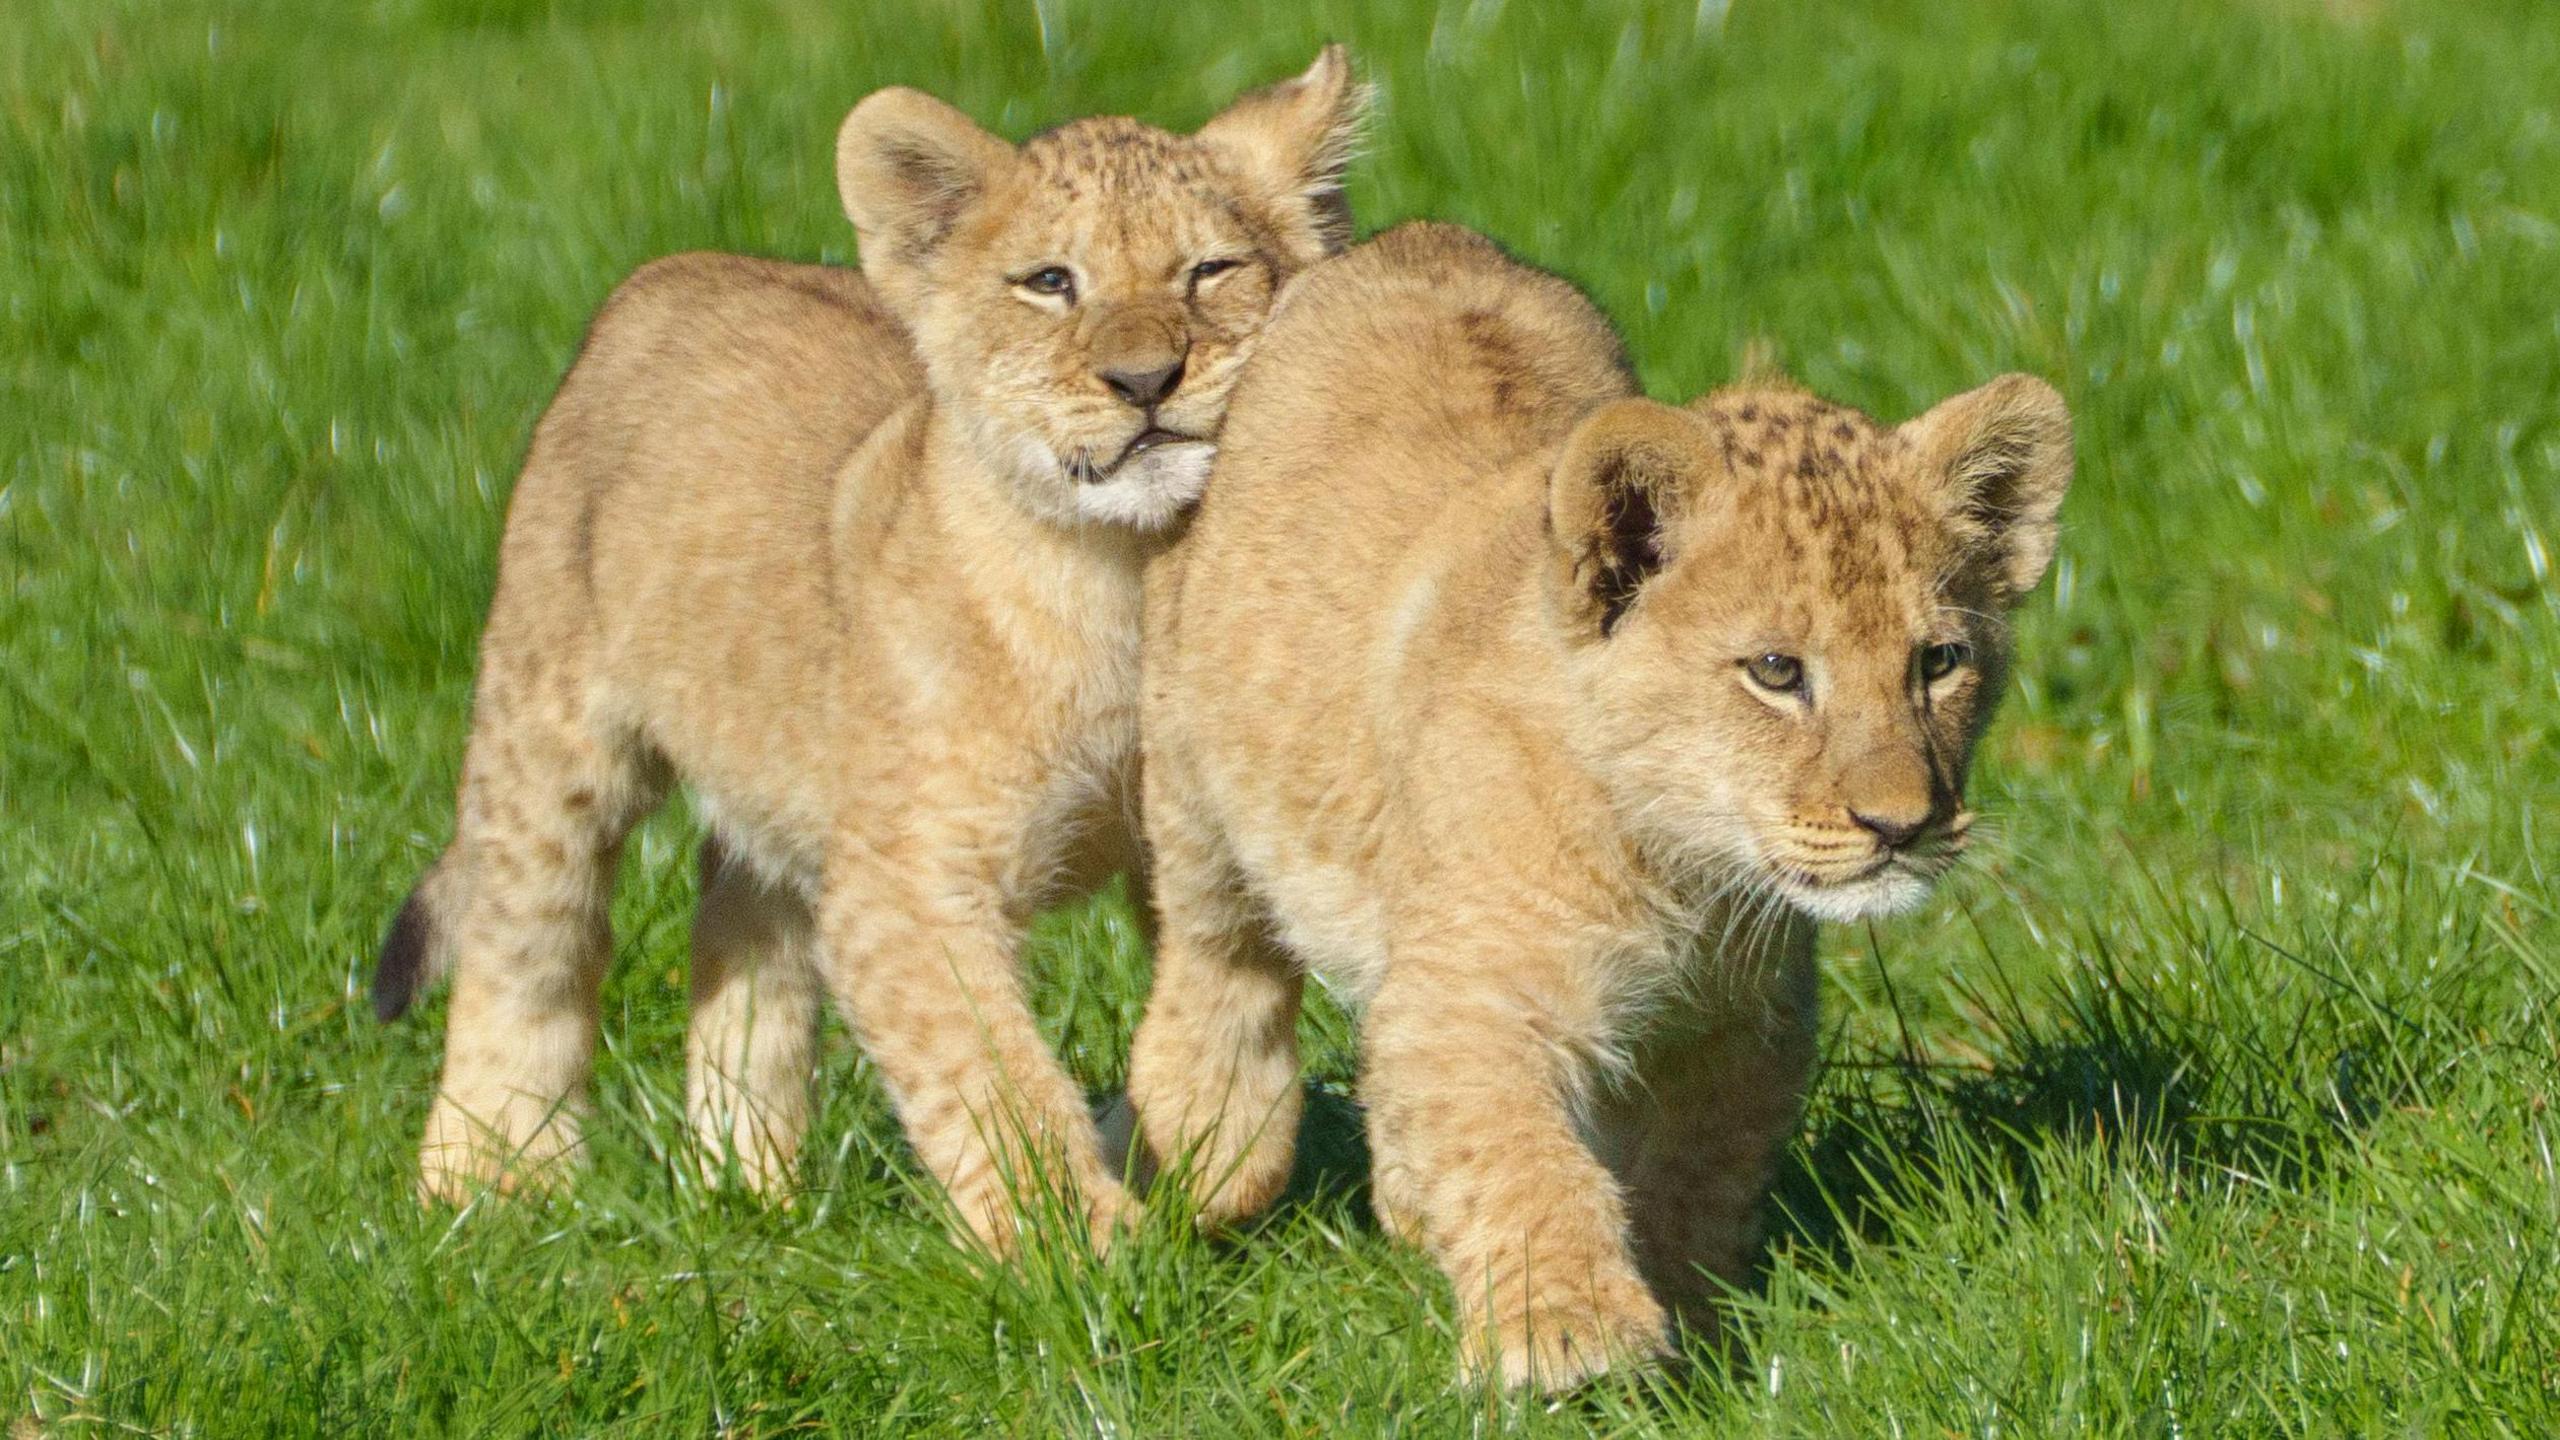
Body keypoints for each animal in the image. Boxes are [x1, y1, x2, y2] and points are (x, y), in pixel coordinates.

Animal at [371, 49, 1367, 1252]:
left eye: (1210, 270)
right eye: (1050, 282)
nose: (1144, 382)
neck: (1121, 578)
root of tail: (666, 272)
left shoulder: (1199, 829)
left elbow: (1230, 986)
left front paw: (1199, 1157)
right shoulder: (909, 875)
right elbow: (991, 1076)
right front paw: (1085, 1245)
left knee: (744, 930)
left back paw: (744, 1184)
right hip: (550, 727)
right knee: (527, 943)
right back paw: (490, 1185)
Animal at [1125, 222, 2072, 1386]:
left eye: (1936, 662)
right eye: (1775, 672)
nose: (1901, 826)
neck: (1679, 870)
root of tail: (1418, 237)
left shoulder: (1744, 1021)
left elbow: (1698, 1174)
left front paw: (1694, 1319)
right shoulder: (1478, 991)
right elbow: (1516, 1156)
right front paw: (1566, 1331)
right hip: (1194, 777)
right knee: (1218, 951)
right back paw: (1213, 1140)